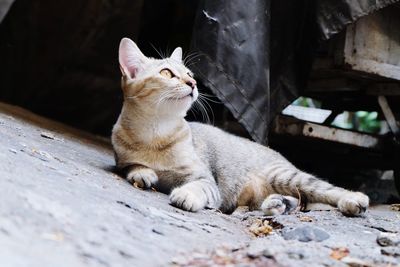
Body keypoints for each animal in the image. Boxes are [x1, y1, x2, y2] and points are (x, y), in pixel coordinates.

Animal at [111, 37, 368, 217]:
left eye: (190, 74)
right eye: (166, 73)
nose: (193, 83)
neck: (155, 133)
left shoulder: (206, 179)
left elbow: (199, 186)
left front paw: (186, 193)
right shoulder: (122, 159)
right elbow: (131, 166)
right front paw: (143, 172)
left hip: (286, 176)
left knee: (325, 190)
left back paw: (354, 200)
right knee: (297, 200)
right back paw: (277, 204)